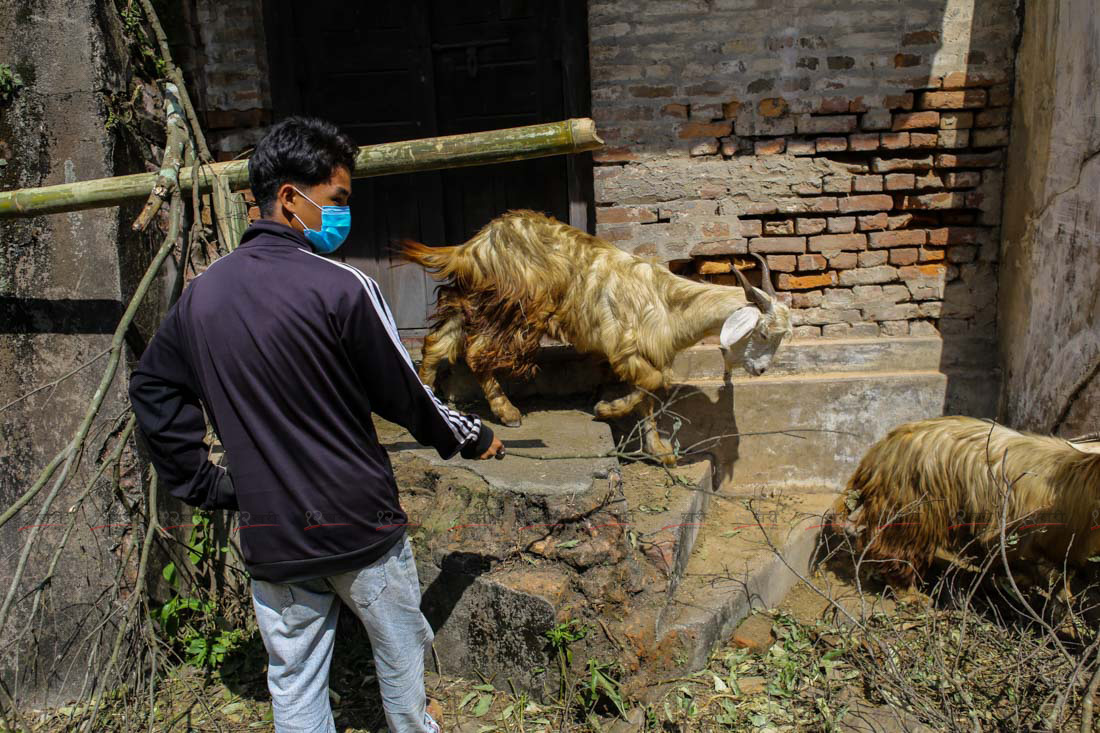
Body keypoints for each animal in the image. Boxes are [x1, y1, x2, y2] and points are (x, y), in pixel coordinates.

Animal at [404, 208, 792, 462]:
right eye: (761, 333)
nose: (760, 371)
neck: (670, 303)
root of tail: (472, 246)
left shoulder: (647, 352)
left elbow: (650, 394)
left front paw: (659, 450)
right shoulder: (625, 346)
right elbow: (654, 383)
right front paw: (606, 409)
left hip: (474, 299)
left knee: (439, 341)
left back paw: (429, 395)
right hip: (514, 307)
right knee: (476, 352)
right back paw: (507, 411)